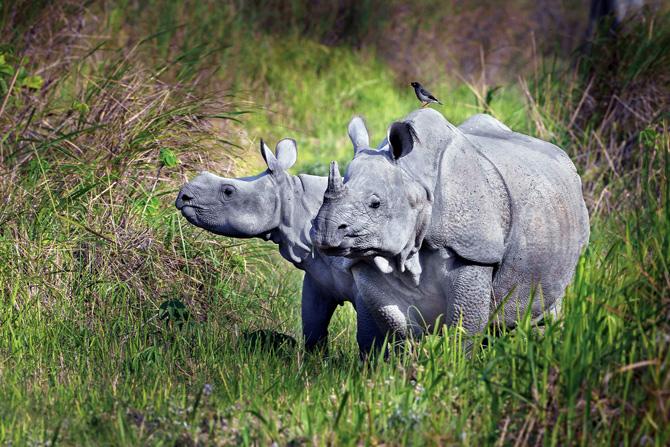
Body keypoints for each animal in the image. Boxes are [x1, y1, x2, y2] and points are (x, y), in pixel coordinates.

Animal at [312, 110, 590, 352]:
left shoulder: (473, 253)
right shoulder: (366, 258)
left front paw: (458, 365)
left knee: (547, 306)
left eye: (375, 203)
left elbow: (463, 327)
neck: (414, 178)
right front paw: (404, 363)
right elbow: (396, 324)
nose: (325, 229)